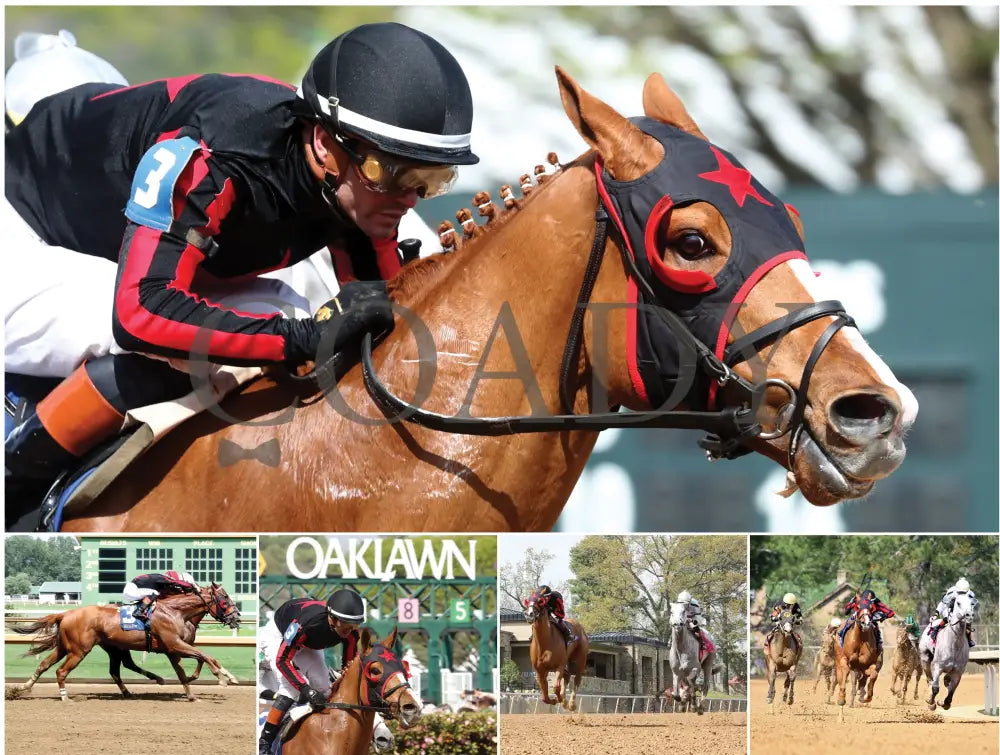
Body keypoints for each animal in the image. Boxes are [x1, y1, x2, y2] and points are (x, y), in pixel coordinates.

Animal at [8, 583, 240, 701]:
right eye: (225, 598)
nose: (236, 617)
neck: (176, 611)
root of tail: (65, 614)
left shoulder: (175, 648)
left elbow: (194, 664)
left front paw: (198, 689)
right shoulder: (174, 645)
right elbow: (204, 656)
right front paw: (220, 678)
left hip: (70, 647)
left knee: (44, 664)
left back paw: (22, 688)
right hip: (79, 650)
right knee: (61, 671)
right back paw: (65, 696)